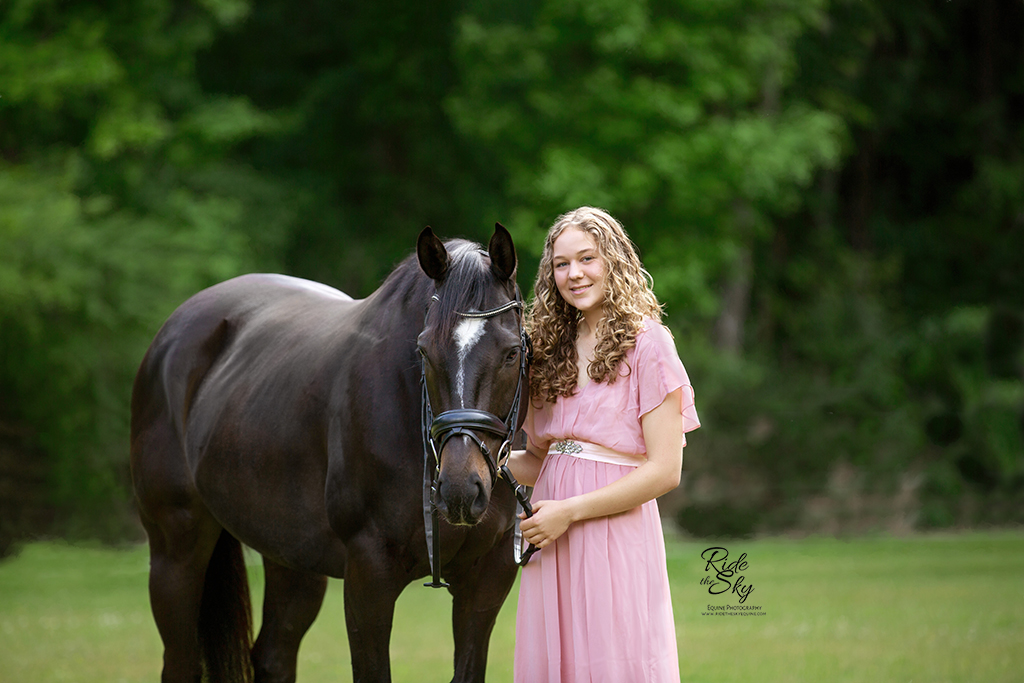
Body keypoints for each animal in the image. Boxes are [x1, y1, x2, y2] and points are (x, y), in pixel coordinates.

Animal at [129, 225, 524, 683]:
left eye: (511, 352)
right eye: (424, 351)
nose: (460, 489)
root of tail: (171, 335)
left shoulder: (487, 582)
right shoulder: (368, 577)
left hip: (292, 559)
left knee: (273, 656)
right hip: (175, 550)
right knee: (181, 661)